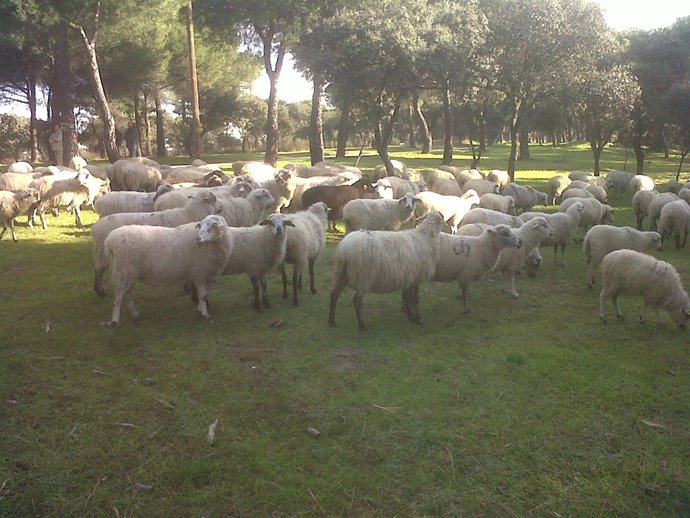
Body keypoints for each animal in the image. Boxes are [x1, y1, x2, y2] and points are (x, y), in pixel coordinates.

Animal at [92, 191, 224, 296]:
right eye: (214, 199)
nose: (222, 207)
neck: (189, 213)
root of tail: (96, 228)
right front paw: (188, 288)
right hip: (106, 254)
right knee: (99, 270)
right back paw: (101, 291)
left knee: (97, 268)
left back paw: (98, 290)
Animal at [98, 215, 233, 327]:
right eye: (202, 226)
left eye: (211, 228)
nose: (198, 238)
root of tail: (110, 239)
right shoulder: (200, 272)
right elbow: (203, 295)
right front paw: (205, 314)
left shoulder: (200, 274)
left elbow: (201, 295)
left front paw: (200, 310)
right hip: (124, 271)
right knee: (118, 297)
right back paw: (115, 320)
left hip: (130, 273)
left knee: (126, 294)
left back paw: (136, 315)